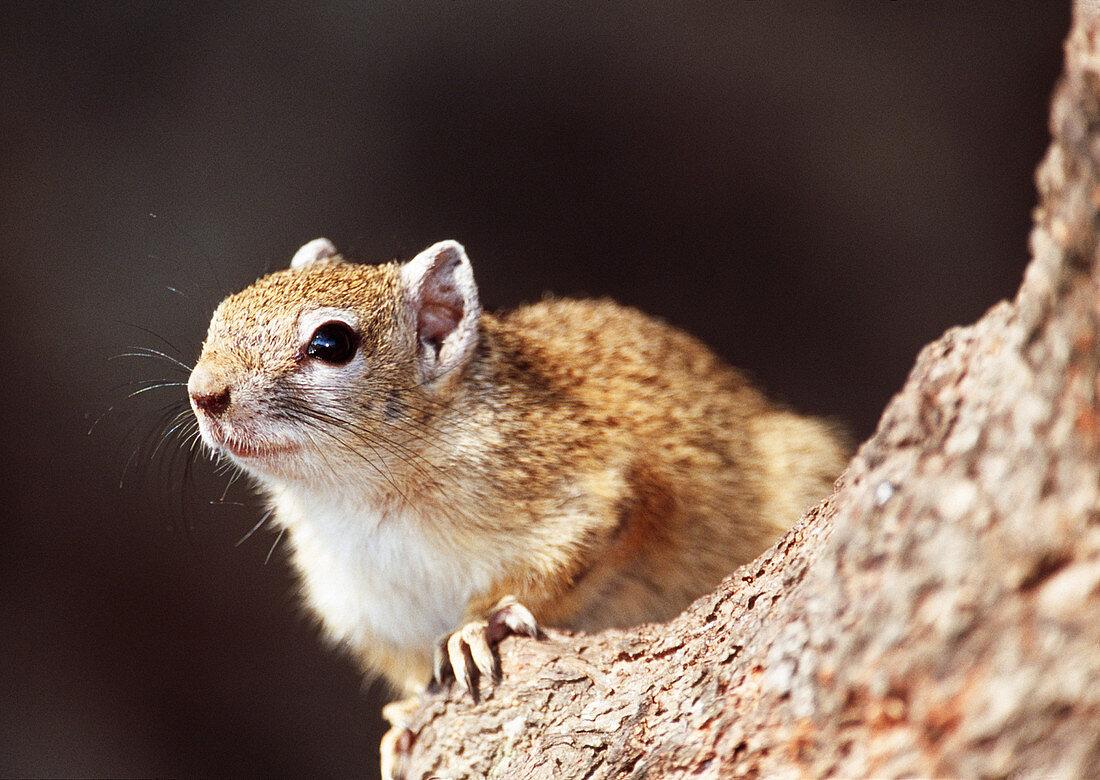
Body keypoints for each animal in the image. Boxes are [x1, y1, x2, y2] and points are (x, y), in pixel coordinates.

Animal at [187, 237, 849, 695]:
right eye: (220, 314)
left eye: (332, 344)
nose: (203, 392)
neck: (354, 497)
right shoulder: (369, 614)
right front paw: (398, 724)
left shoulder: (588, 491)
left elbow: (550, 572)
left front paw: (476, 627)